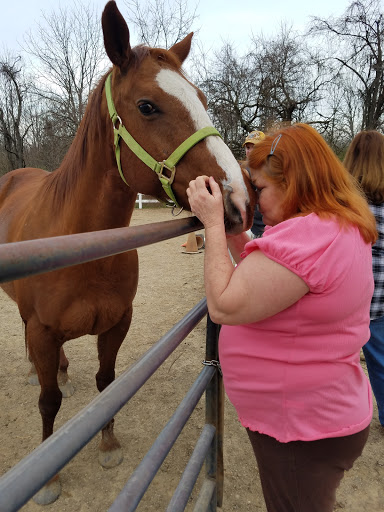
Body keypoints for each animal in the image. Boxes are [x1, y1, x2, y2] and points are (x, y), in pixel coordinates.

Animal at [0, 0, 255, 504]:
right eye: (147, 106)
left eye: (202, 97)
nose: (238, 200)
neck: (83, 247)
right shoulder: (42, 330)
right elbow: (47, 401)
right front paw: (48, 479)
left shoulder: (117, 323)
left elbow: (106, 383)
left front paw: (108, 444)